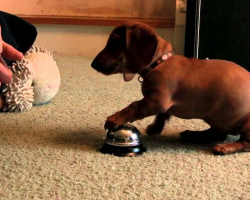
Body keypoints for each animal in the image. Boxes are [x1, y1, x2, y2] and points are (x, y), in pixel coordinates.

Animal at [91, 21, 250, 155]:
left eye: (114, 41)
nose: (92, 64)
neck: (159, 63)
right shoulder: (160, 102)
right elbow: (162, 115)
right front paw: (155, 128)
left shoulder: (156, 101)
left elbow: (134, 106)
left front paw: (114, 119)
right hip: (214, 117)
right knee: (216, 133)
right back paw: (193, 134)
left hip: (245, 123)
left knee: (245, 143)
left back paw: (225, 147)